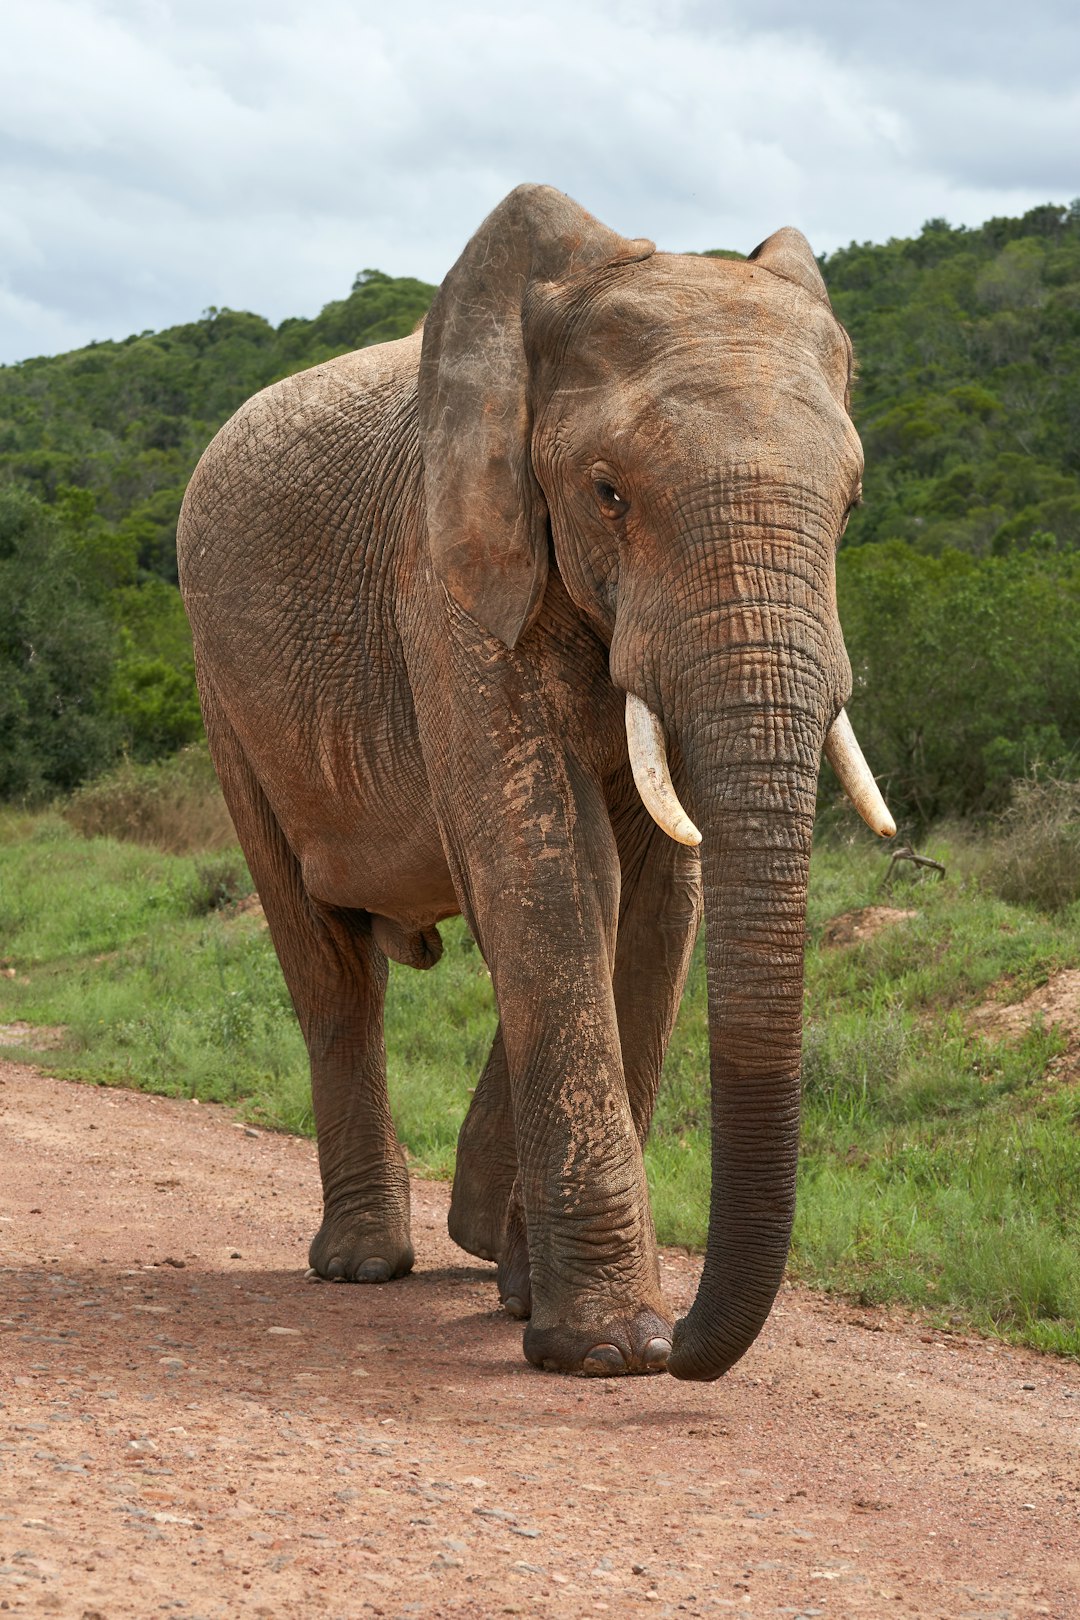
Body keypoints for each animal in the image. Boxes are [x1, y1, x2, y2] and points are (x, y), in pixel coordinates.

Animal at [177, 186, 893, 1380]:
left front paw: (556, 1312)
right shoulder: (447, 576)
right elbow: (550, 872)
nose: (684, 1349)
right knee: (330, 970)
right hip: (224, 688)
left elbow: (650, 900)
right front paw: (608, 1348)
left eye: (849, 507)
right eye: (607, 494)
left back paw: (482, 1253)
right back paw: (366, 1265)